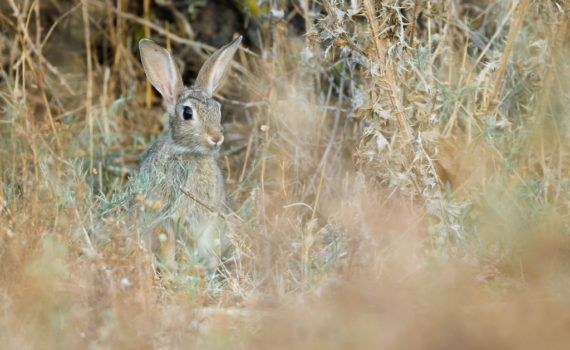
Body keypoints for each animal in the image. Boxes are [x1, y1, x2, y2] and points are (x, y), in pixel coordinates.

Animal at [132, 36, 241, 270]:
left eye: (218, 109)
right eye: (188, 113)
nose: (216, 138)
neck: (188, 153)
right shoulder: (168, 219)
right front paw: (173, 271)